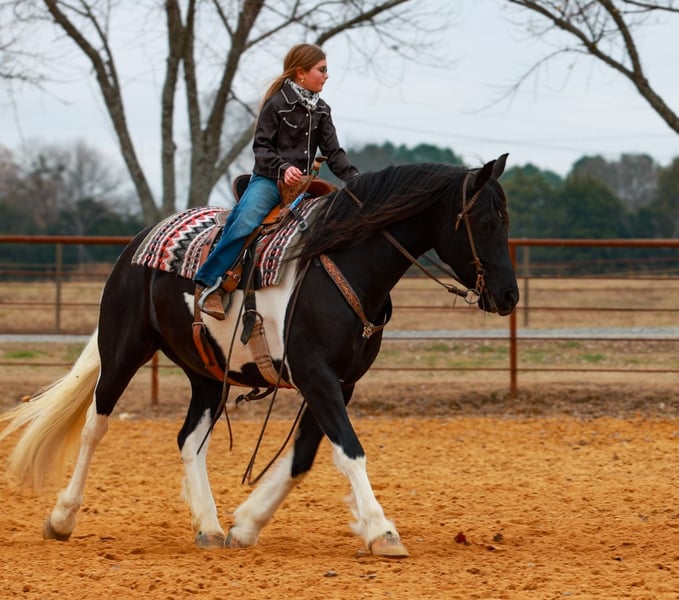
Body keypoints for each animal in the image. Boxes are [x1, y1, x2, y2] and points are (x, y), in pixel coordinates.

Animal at [0, 155, 519, 558]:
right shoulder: (316, 376)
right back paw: (62, 518)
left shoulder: (340, 382)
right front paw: (381, 530)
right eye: (485, 222)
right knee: (95, 425)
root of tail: (136, 244)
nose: (509, 295)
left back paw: (209, 527)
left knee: (189, 440)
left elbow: (304, 456)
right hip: (123, 349)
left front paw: (246, 524)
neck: (341, 264)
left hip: (207, 375)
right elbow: (349, 450)